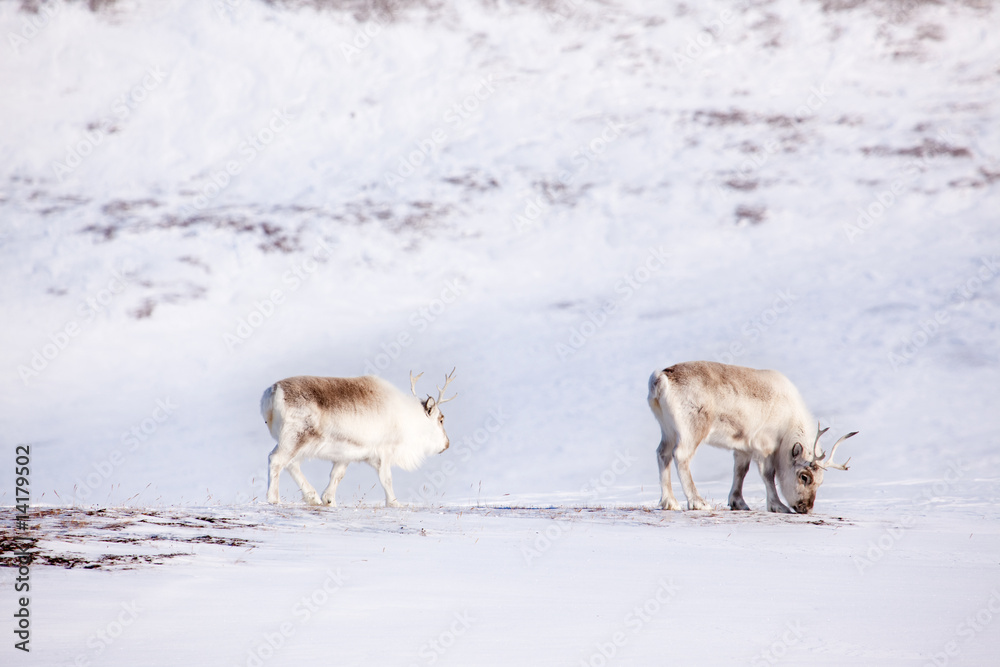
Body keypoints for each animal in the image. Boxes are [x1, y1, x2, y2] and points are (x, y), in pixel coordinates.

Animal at [260, 369, 456, 507]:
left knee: (291, 464)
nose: (446, 444)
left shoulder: (346, 454)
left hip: (298, 443)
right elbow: (386, 478)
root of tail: (272, 393)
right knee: (276, 460)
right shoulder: (384, 451)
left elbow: (337, 475)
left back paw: (313, 497)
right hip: (295, 437)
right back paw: (274, 498)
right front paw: (394, 502)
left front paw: (329, 500)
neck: (409, 419)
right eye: (441, 419)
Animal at [647, 361, 857, 514]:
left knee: (662, 453)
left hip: (667, 429)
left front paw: (738, 502)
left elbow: (740, 471)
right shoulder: (764, 445)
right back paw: (698, 502)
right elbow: (768, 474)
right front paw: (778, 506)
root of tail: (661, 379)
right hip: (692, 428)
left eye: (821, 481)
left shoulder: (742, 447)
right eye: (804, 476)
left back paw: (669, 502)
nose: (805, 508)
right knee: (681, 456)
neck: (788, 425)